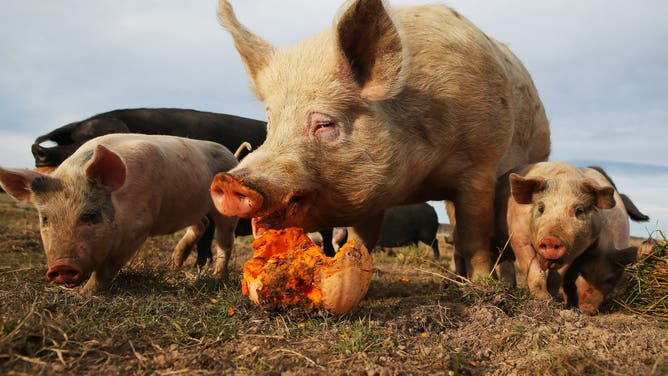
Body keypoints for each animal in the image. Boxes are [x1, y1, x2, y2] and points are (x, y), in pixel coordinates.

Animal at [0, 134, 239, 296]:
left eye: (91, 216)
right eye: (45, 219)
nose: (61, 267)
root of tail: (232, 155)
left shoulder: (139, 227)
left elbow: (108, 266)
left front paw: (84, 294)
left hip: (224, 211)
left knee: (224, 241)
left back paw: (217, 279)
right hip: (189, 207)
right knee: (202, 223)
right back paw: (174, 265)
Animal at [211, 0, 552, 280]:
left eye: (324, 123)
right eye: (270, 122)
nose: (229, 181)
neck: (418, 177)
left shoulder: (479, 165)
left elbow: (475, 237)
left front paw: (483, 286)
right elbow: (361, 240)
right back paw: (456, 279)